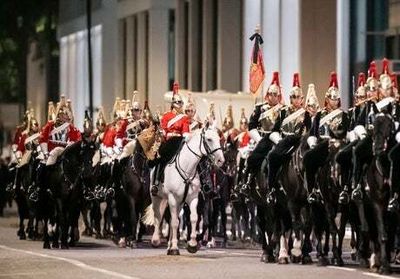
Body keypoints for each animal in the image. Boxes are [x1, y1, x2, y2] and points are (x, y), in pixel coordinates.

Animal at [144, 126, 225, 258]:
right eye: (209, 139)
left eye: (219, 139)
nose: (220, 160)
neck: (187, 168)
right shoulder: (172, 198)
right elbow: (175, 222)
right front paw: (175, 248)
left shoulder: (193, 198)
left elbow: (193, 218)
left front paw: (192, 245)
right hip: (156, 196)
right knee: (158, 215)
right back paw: (156, 240)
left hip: (180, 203)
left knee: (171, 218)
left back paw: (169, 246)